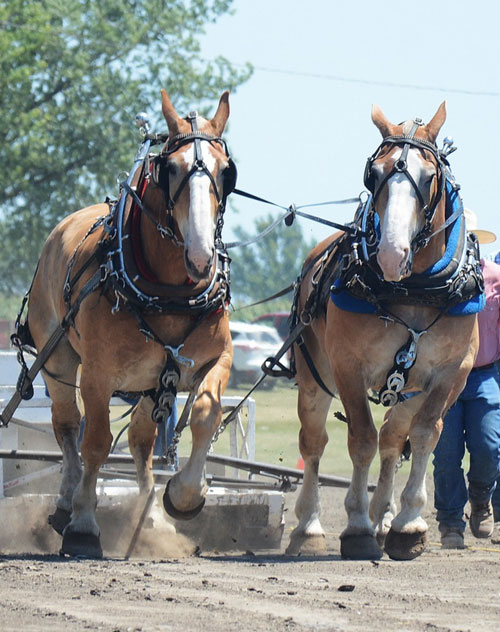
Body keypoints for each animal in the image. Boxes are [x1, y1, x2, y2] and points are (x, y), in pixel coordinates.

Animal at [23, 90, 234, 556]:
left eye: (226, 171)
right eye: (169, 168)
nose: (200, 256)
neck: (169, 292)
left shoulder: (216, 359)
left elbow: (206, 412)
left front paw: (184, 497)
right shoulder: (98, 374)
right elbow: (97, 442)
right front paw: (84, 524)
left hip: (149, 385)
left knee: (139, 443)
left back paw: (150, 517)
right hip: (58, 360)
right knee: (68, 428)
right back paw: (66, 503)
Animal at [292, 105, 482, 564]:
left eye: (429, 177)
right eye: (373, 174)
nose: (392, 255)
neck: (413, 288)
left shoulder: (452, 372)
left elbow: (425, 434)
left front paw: (406, 524)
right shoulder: (348, 367)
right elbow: (361, 438)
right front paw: (358, 526)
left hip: (408, 388)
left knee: (394, 439)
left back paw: (385, 517)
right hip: (313, 377)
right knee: (314, 442)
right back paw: (309, 528)